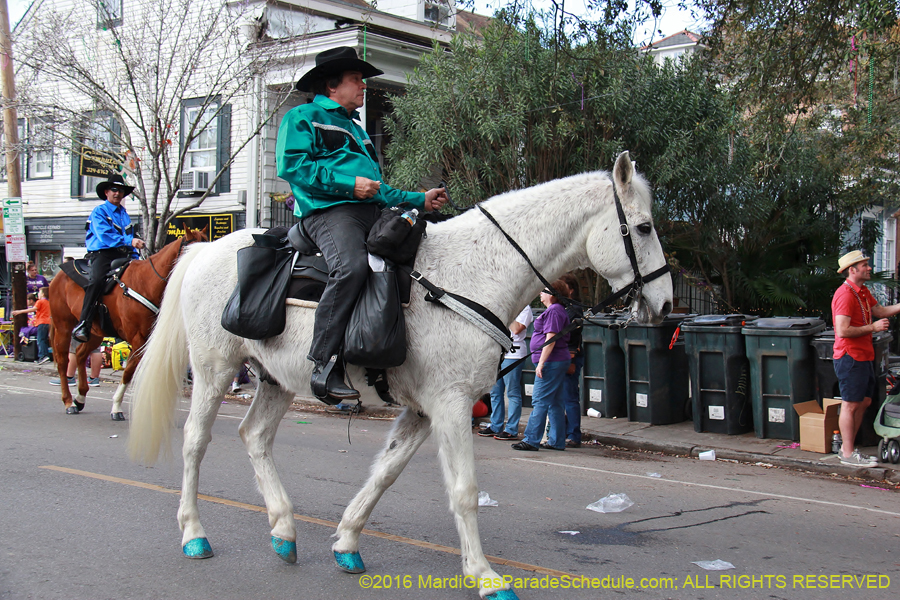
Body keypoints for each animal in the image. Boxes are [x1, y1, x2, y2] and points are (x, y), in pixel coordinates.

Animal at [49, 225, 207, 418]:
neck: (147, 283)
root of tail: (57, 278)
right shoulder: (137, 339)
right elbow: (129, 371)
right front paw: (116, 407)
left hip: (95, 332)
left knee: (80, 355)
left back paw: (80, 398)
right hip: (63, 326)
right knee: (63, 361)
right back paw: (69, 402)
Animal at [130, 152, 672, 596]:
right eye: (644, 227)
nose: (666, 305)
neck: (473, 273)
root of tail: (204, 249)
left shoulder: (422, 411)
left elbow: (385, 473)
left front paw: (347, 542)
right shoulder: (451, 405)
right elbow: (465, 492)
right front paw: (485, 576)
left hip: (275, 380)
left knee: (255, 436)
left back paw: (284, 530)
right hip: (213, 368)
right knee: (196, 441)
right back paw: (194, 534)